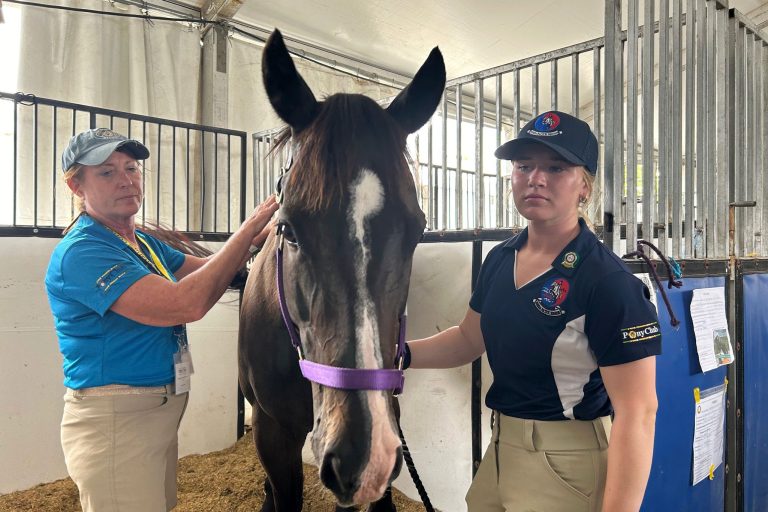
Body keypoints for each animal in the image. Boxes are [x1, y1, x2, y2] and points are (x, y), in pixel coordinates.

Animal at [238, 29, 445, 511]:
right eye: (288, 229)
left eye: (418, 231)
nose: (361, 458)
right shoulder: (272, 434)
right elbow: (284, 492)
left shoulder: (389, 417)